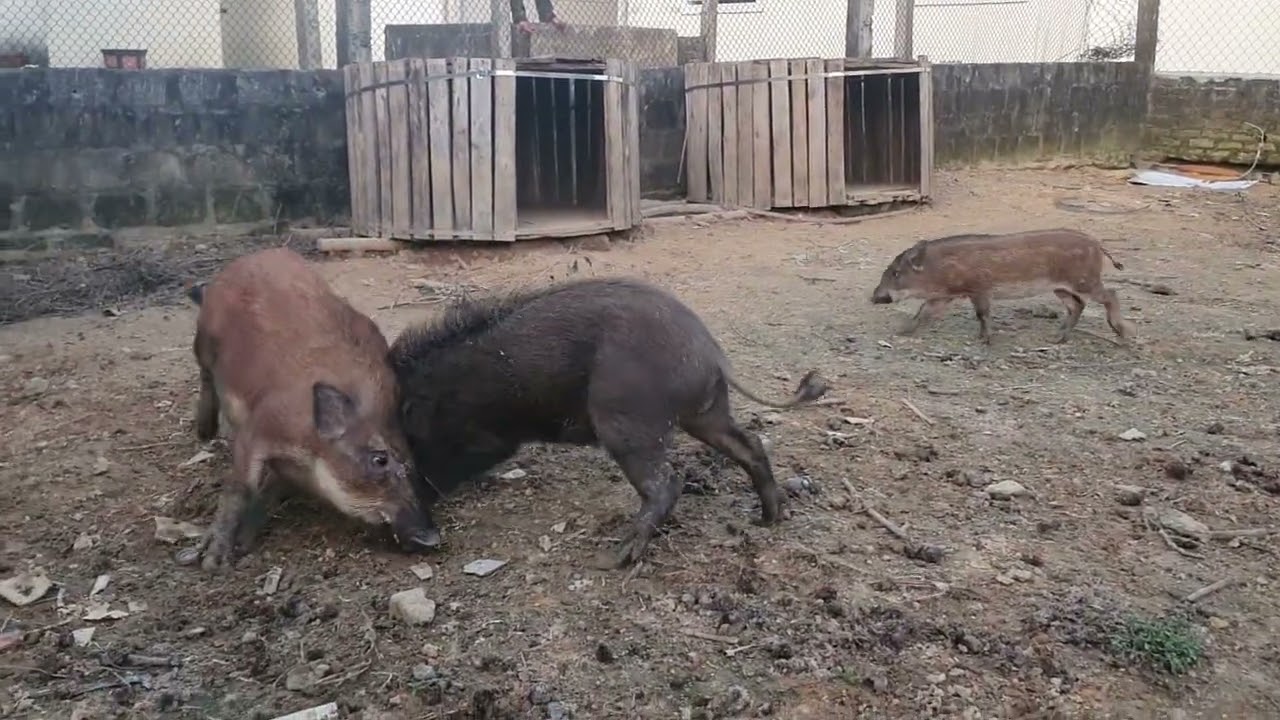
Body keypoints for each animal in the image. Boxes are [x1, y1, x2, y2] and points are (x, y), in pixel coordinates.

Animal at [179, 247, 436, 572]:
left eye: (413, 461)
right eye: (380, 459)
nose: (433, 537)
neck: (310, 450)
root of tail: (250, 257)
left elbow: (267, 493)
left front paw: (243, 545)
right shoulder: (258, 427)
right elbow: (240, 487)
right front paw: (213, 561)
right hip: (202, 339)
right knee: (205, 373)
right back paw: (204, 433)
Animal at [388, 277, 830, 570]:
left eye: (408, 441)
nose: (417, 538)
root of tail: (711, 352)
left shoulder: (485, 437)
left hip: (627, 422)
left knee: (667, 483)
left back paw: (616, 557)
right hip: (705, 413)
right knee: (750, 444)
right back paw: (769, 518)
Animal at [869, 228, 1135, 344]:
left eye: (895, 272)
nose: (873, 297)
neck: (939, 268)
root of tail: (1096, 243)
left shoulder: (979, 289)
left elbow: (982, 314)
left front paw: (985, 340)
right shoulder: (944, 296)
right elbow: (923, 313)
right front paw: (901, 332)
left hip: (1085, 281)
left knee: (1111, 294)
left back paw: (1123, 334)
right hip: (1061, 288)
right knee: (1077, 305)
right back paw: (1057, 338)